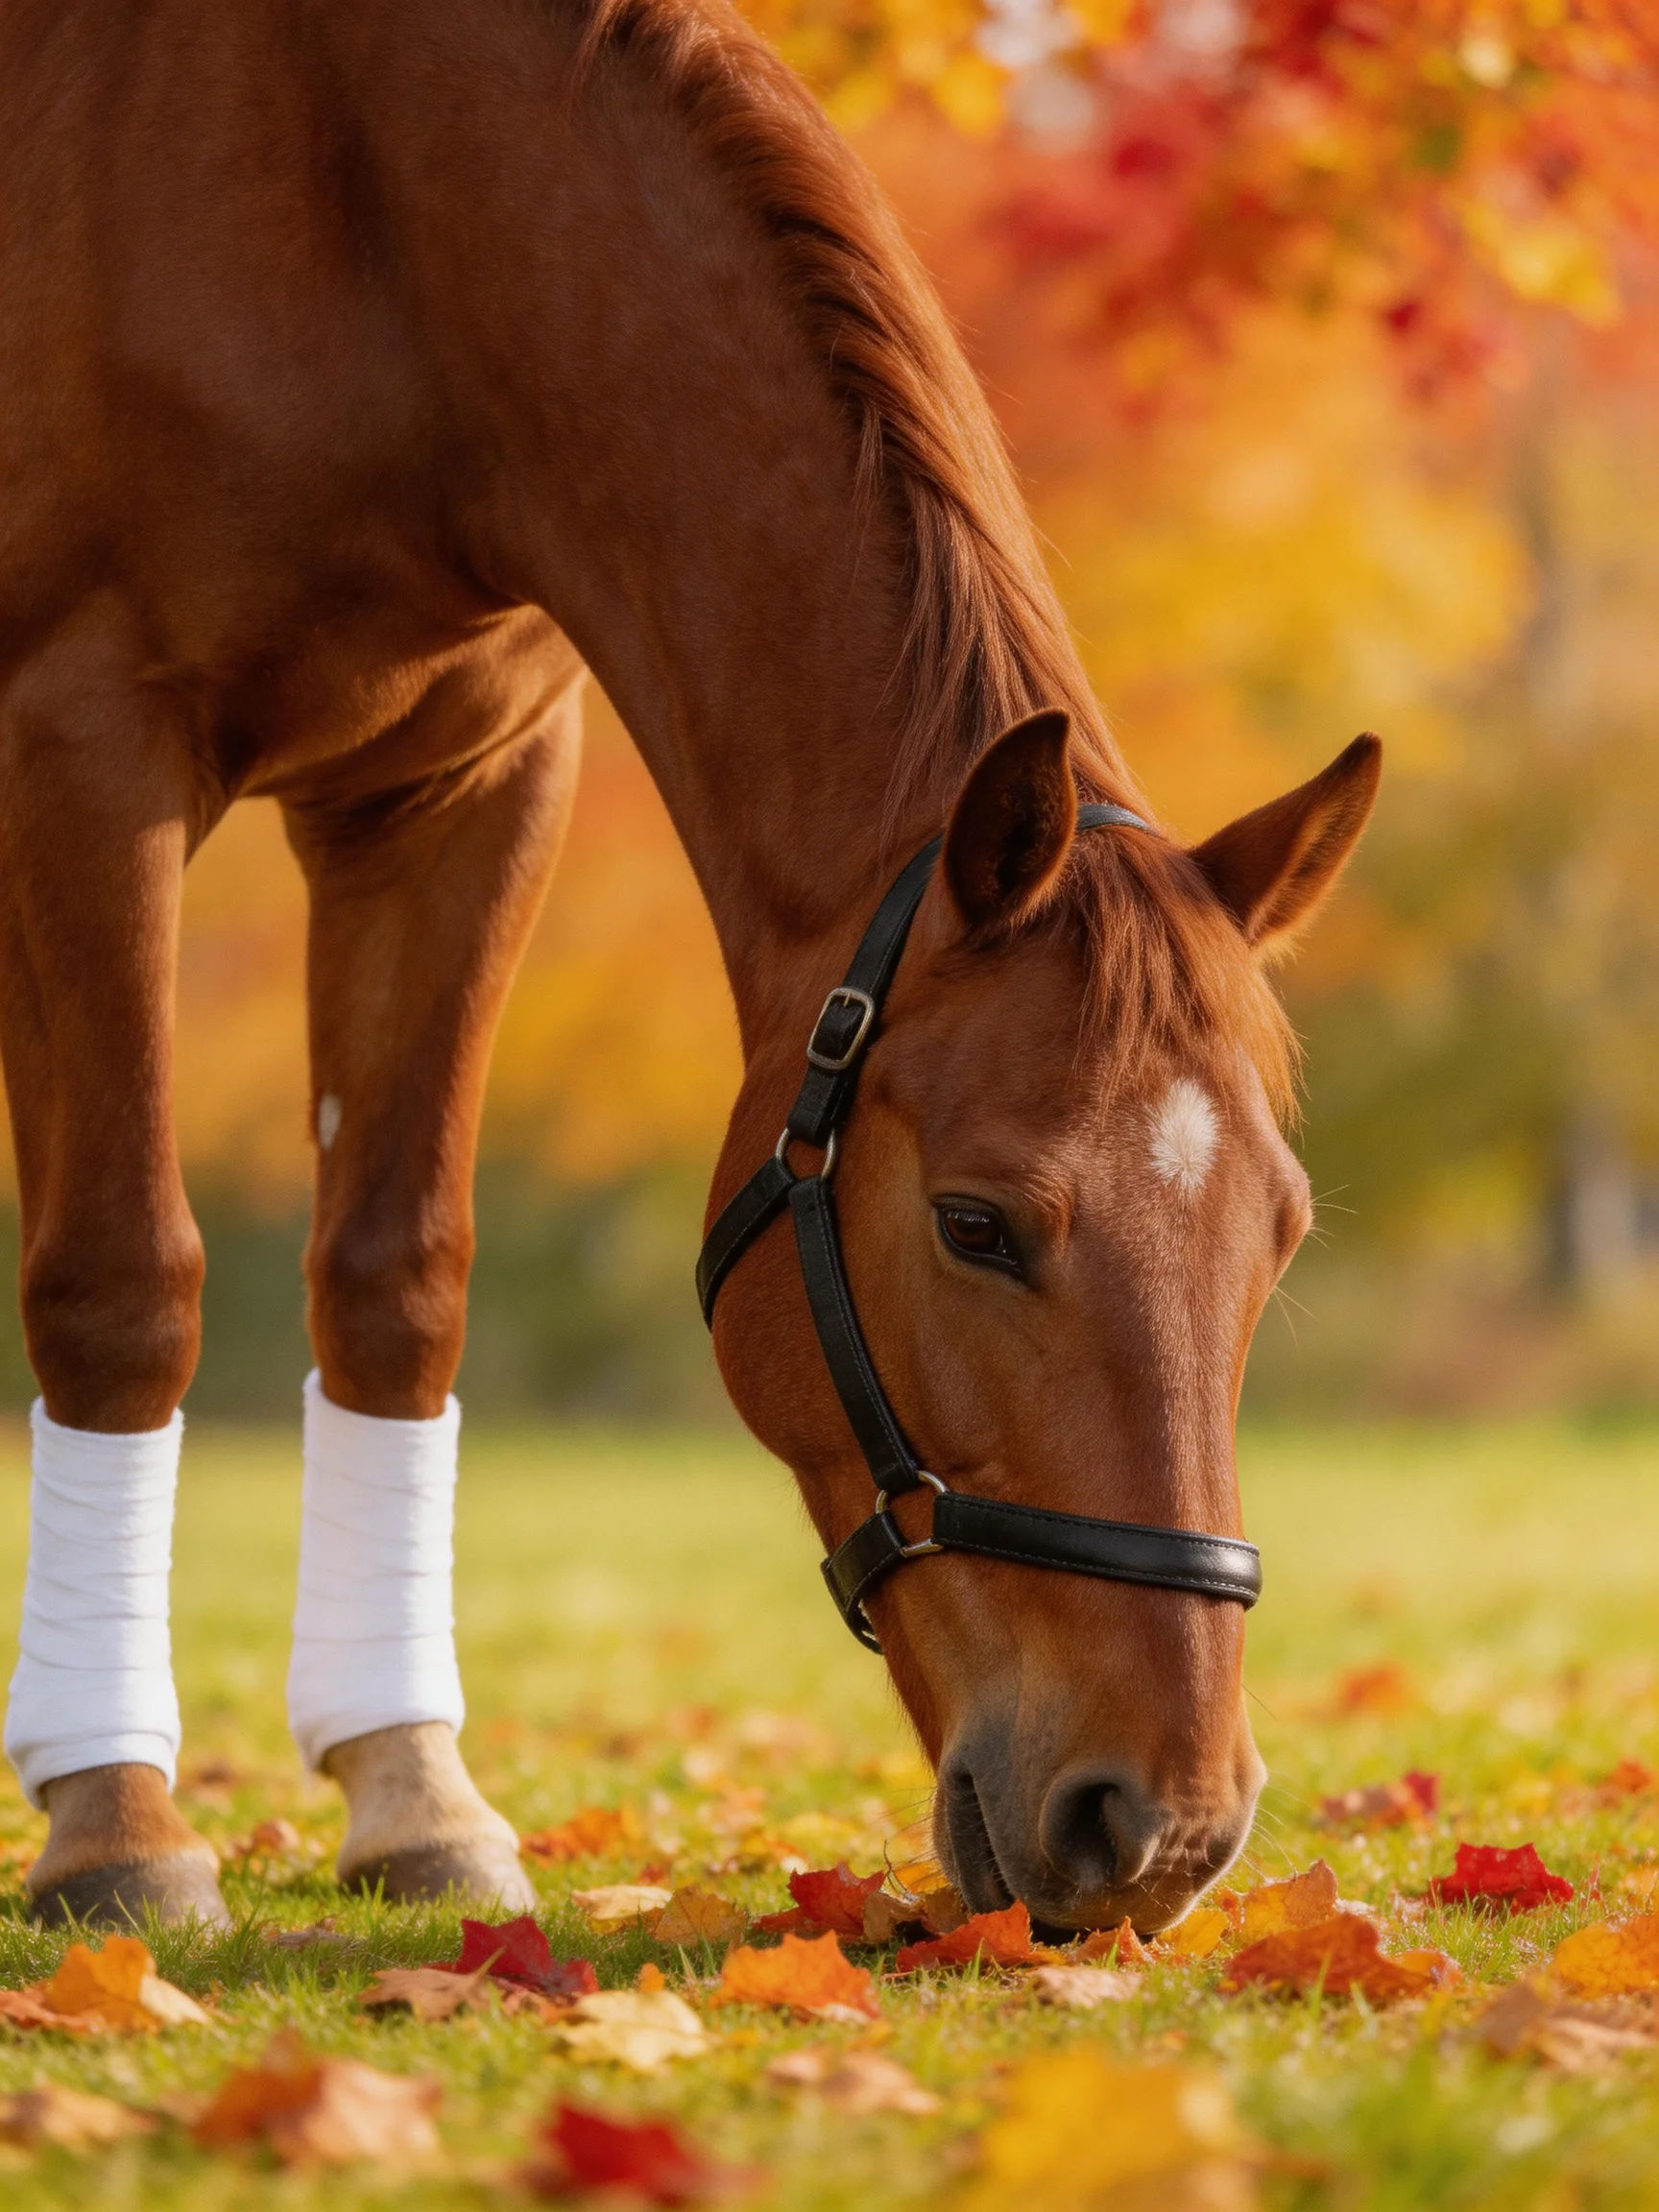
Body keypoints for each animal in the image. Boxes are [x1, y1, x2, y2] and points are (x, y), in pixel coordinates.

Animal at [0, 0, 1378, 1931]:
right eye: (977, 1225)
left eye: (1279, 1233)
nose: (1162, 1826)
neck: (367, 210)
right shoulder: (78, 755)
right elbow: (123, 1287)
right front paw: (115, 1824)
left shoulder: (463, 779)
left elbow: (396, 1282)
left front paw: (415, 1798)